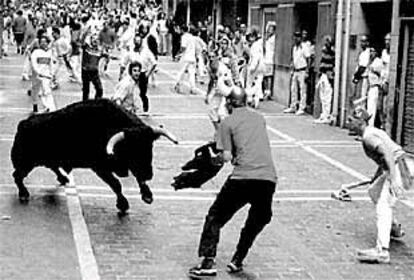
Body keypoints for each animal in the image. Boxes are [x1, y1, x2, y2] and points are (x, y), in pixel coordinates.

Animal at [11, 98, 176, 212]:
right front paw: (123, 204)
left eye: (150, 147)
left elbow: (137, 179)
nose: (149, 174)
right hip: (26, 163)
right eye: (131, 150)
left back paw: (63, 178)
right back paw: (24, 194)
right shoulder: (100, 167)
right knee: (17, 176)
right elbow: (116, 184)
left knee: (53, 167)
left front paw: (147, 196)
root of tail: (23, 124)